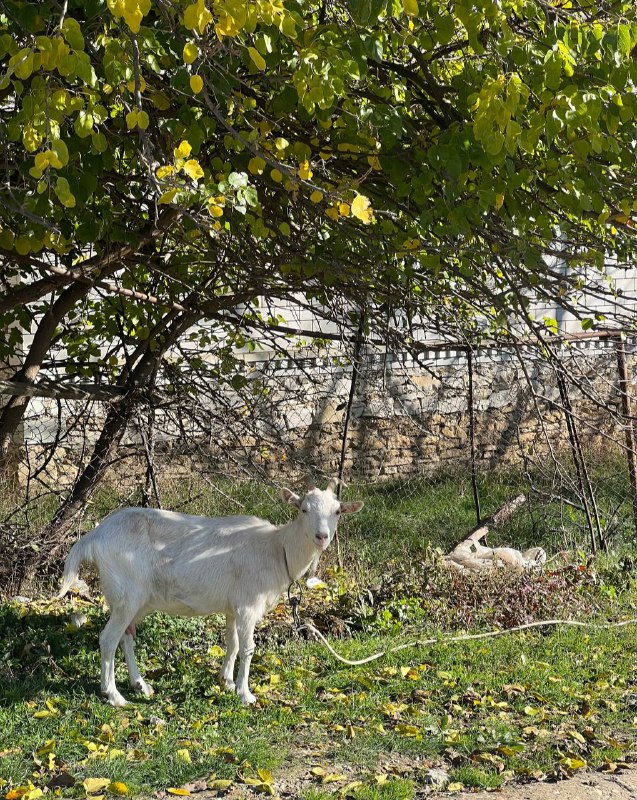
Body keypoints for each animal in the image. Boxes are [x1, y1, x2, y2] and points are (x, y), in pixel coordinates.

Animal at [59, 478, 362, 704]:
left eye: (337, 511)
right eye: (303, 509)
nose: (322, 536)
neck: (277, 548)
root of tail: (94, 537)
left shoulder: (233, 607)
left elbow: (232, 642)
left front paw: (225, 681)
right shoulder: (247, 605)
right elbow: (248, 647)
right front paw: (245, 694)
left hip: (135, 600)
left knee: (126, 636)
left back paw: (140, 685)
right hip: (127, 595)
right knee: (108, 639)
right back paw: (114, 695)